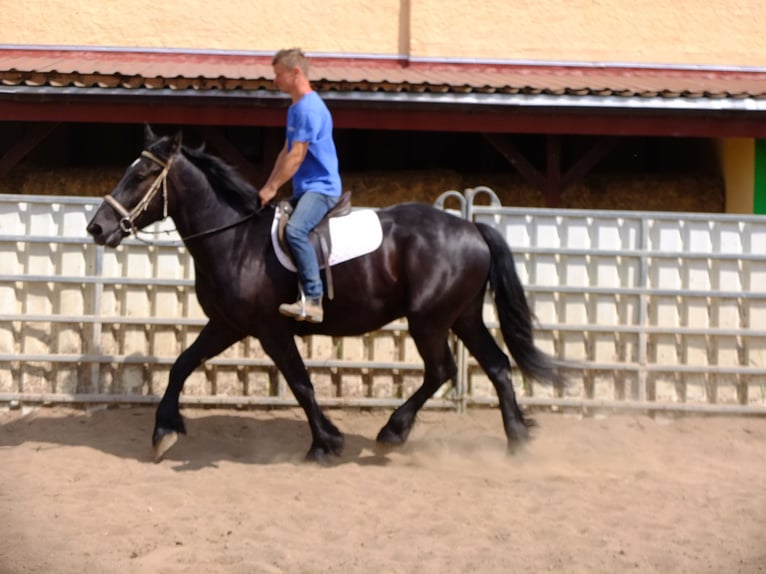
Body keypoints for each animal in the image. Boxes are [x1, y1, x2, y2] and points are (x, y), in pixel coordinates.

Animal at [87, 128, 568, 466]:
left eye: (142, 174)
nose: (97, 227)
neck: (236, 238)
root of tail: (471, 227)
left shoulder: (268, 328)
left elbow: (300, 382)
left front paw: (326, 442)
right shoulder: (227, 324)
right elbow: (182, 364)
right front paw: (163, 431)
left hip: (429, 319)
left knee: (442, 370)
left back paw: (393, 432)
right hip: (462, 316)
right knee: (497, 365)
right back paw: (516, 438)